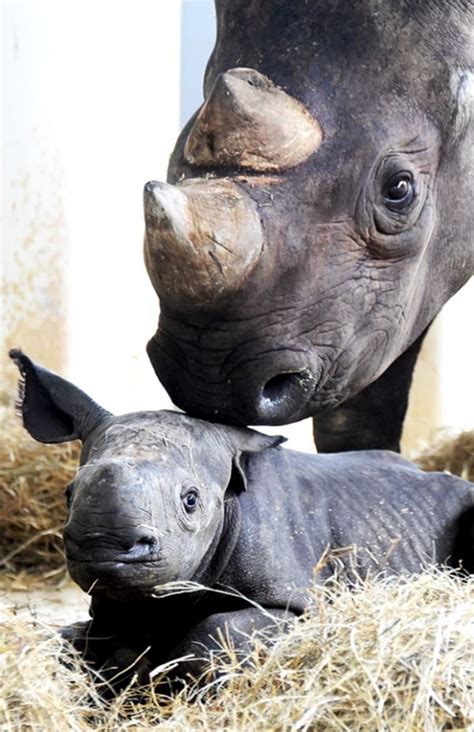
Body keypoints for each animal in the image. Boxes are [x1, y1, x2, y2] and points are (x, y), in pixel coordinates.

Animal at [10, 350, 474, 692]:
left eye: (191, 501)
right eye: (68, 494)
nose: (102, 544)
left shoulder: (295, 601)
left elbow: (216, 633)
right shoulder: (112, 604)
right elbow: (66, 641)